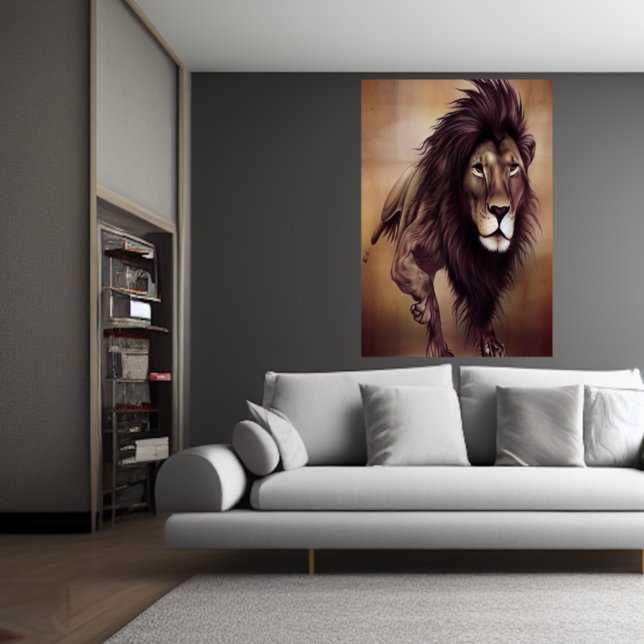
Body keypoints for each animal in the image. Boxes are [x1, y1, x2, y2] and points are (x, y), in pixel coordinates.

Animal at [364, 79, 539, 357]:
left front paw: (490, 343)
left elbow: (483, 305)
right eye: (478, 168)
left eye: (513, 168)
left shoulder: (485, 271)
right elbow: (427, 291)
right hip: (387, 212)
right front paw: (425, 313)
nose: (500, 210)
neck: (465, 233)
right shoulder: (404, 257)